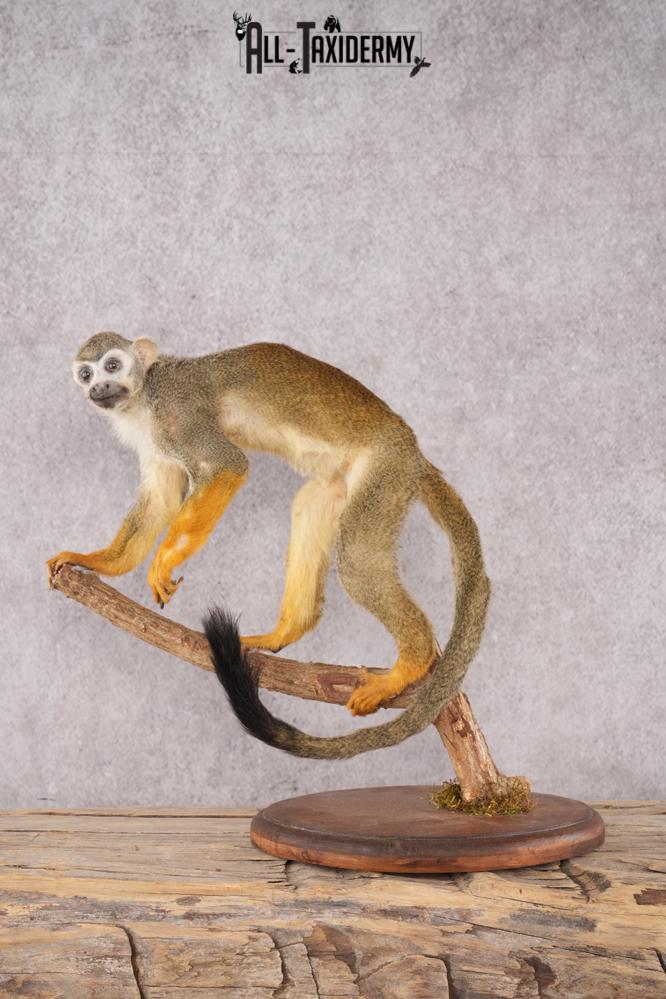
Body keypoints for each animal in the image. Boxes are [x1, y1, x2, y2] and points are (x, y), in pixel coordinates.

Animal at [47, 332, 490, 758]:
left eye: (112, 365)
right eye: (86, 374)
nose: (100, 387)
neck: (142, 400)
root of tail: (415, 455)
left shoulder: (178, 412)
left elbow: (228, 466)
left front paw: (166, 557)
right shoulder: (154, 439)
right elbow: (160, 502)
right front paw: (93, 562)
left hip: (385, 475)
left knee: (357, 564)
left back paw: (411, 663)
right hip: (348, 481)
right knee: (309, 507)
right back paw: (286, 631)